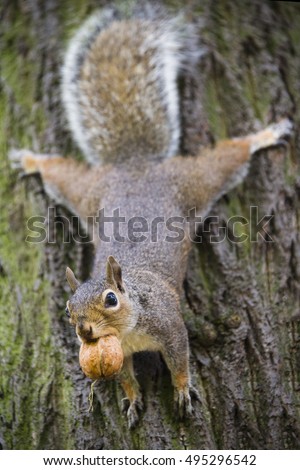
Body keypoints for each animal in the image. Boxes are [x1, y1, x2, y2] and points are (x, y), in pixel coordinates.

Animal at [9, 4, 292, 430]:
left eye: (111, 299)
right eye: (67, 309)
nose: (85, 332)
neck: (130, 328)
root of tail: (135, 165)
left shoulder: (170, 327)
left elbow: (180, 360)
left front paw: (182, 391)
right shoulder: (120, 354)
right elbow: (125, 376)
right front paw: (131, 399)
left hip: (194, 181)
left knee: (227, 158)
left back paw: (266, 135)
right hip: (86, 190)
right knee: (58, 171)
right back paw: (31, 160)